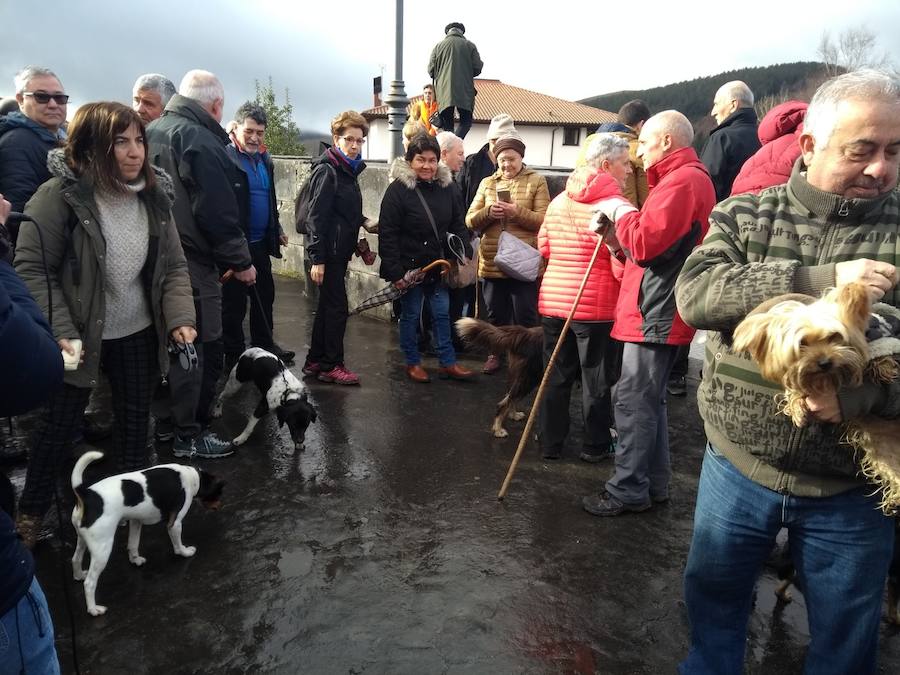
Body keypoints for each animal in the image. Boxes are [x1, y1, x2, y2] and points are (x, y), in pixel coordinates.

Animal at [71, 452, 225, 616]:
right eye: (218, 493)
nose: (219, 506)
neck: (192, 476)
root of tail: (86, 495)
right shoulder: (175, 523)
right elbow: (178, 544)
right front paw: (184, 552)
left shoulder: (135, 521)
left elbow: (133, 544)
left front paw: (135, 560)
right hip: (102, 549)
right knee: (90, 583)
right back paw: (93, 609)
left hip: (82, 540)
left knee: (75, 559)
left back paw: (79, 575)